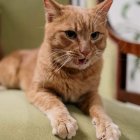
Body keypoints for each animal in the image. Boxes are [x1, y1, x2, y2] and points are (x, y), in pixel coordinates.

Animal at [0, 0, 120, 139]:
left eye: (94, 35)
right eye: (70, 34)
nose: (86, 51)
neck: (75, 74)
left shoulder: (92, 94)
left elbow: (99, 110)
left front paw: (108, 127)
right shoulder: (39, 90)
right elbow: (55, 103)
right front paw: (64, 122)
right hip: (10, 75)